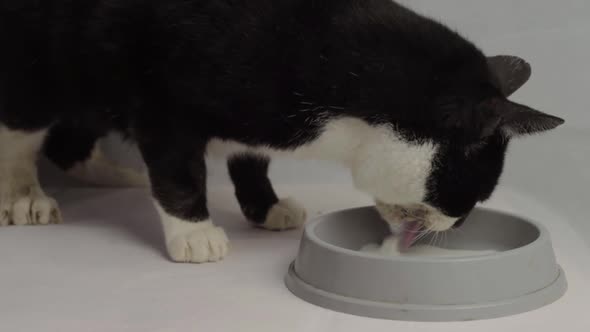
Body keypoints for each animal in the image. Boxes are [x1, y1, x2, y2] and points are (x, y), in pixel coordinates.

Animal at [0, 0, 564, 262]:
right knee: (22, 129)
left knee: (70, 137)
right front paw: (194, 231)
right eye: (470, 193)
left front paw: (265, 205)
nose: (459, 224)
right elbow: (179, 172)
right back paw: (24, 195)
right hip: (40, 59)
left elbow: (251, 156)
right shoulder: (162, 102)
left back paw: (111, 172)